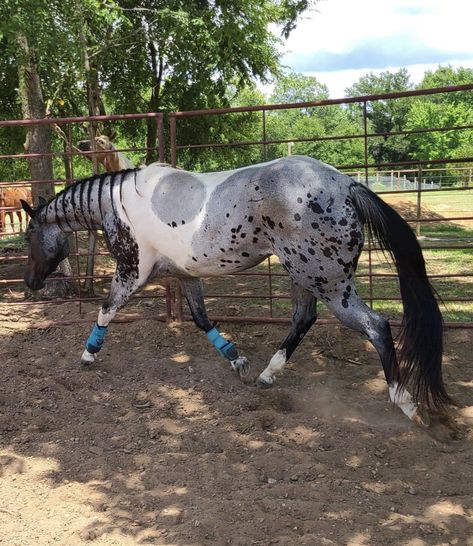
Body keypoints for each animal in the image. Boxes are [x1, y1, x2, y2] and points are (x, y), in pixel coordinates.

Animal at [20, 155, 452, 422]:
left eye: (28, 235)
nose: (29, 283)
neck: (120, 201)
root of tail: (346, 185)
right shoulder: (186, 276)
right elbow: (200, 319)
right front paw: (236, 360)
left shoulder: (132, 272)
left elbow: (106, 309)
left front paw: (88, 354)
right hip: (304, 276)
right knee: (304, 318)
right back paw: (266, 375)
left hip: (328, 282)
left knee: (376, 326)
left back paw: (406, 403)